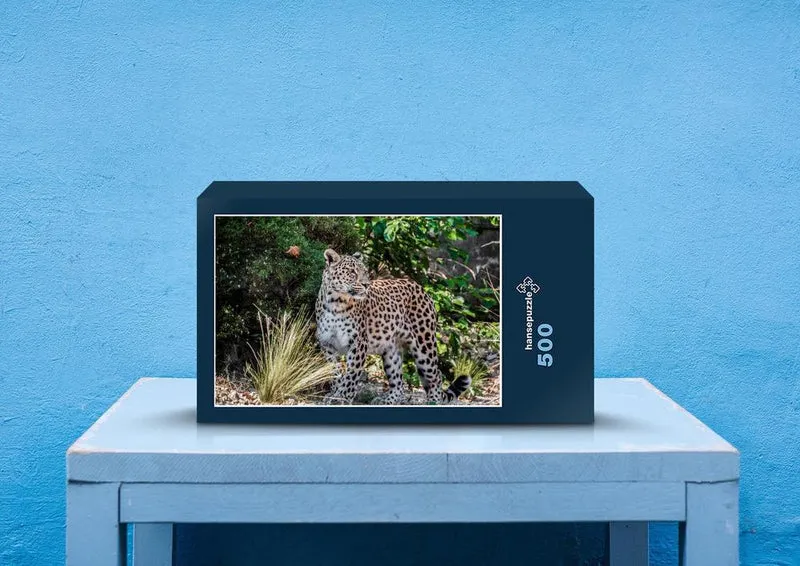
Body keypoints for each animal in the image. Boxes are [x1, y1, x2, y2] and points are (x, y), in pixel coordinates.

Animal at [315, 248, 471, 405]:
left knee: (436, 376)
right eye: (352, 272)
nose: (366, 285)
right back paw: (386, 400)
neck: (335, 302)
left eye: (365, 272)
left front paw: (342, 397)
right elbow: (333, 372)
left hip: (424, 346)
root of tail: (420, 288)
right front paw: (334, 393)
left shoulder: (358, 343)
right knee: (398, 381)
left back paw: (433, 401)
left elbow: (351, 374)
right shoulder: (327, 344)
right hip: (391, 350)